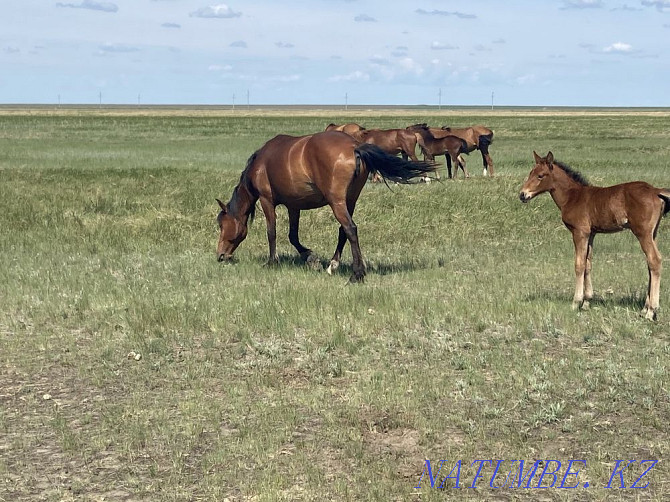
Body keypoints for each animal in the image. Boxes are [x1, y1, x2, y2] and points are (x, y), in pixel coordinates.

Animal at [215, 129, 436, 282]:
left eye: (222, 225)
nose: (220, 256)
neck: (261, 164)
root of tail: (354, 147)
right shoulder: (294, 206)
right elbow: (293, 235)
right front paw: (310, 258)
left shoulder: (266, 200)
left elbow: (272, 232)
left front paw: (272, 262)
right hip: (349, 200)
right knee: (343, 231)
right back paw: (333, 265)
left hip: (336, 202)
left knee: (350, 229)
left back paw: (356, 274)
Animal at [524, 151, 670, 320]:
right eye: (530, 173)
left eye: (540, 175)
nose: (522, 195)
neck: (572, 196)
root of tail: (655, 191)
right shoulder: (591, 233)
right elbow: (588, 264)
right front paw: (587, 302)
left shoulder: (579, 232)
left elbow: (579, 265)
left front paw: (576, 302)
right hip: (653, 233)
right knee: (650, 263)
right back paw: (645, 309)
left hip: (642, 232)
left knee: (655, 260)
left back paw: (652, 310)